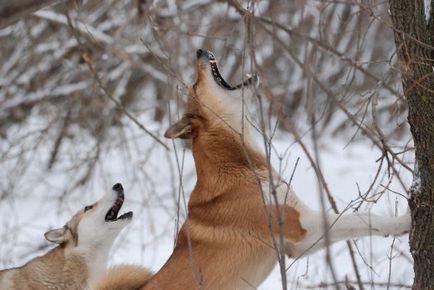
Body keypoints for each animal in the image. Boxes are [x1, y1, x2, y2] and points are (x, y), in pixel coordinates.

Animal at [142, 49, 410, 290]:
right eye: (196, 85)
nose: (199, 50)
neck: (238, 165)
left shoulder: (297, 244)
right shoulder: (302, 227)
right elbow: (361, 218)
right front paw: (403, 221)